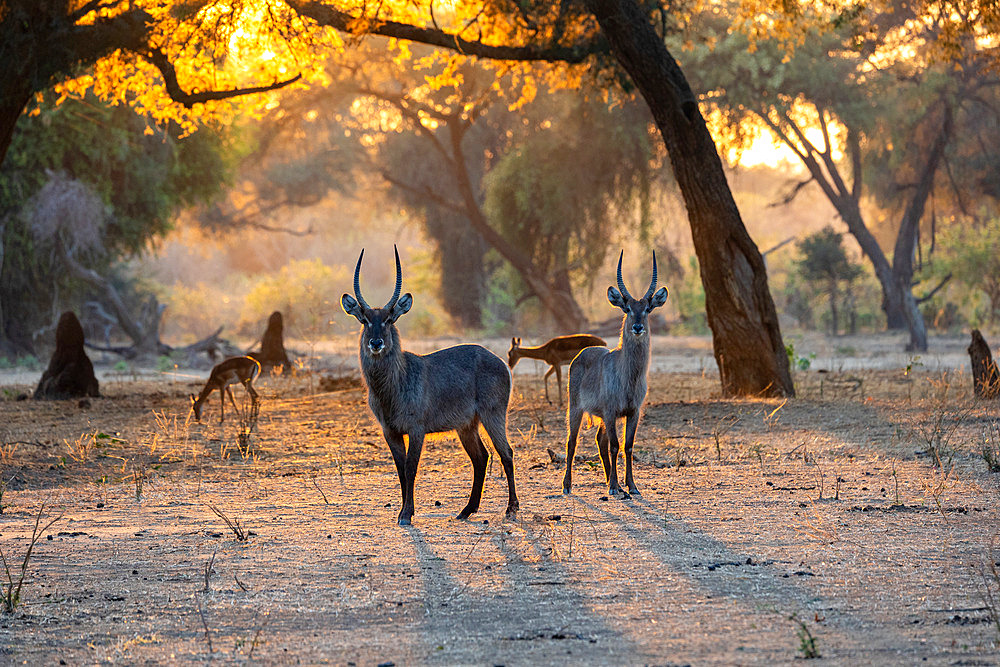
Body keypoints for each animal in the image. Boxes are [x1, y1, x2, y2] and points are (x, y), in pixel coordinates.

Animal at [342, 245, 520, 528]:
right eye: (365, 320)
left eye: (390, 319)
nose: (376, 343)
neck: (394, 385)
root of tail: (500, 361)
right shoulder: (390, 431)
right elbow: (400, 469)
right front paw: (404, 511)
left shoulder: (416, 429)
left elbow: (411, 468)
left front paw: (406, 514)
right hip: (466, 425)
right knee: (481, 458)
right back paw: (466, 510)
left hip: (493, 414)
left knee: (506, 453)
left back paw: (511, 509)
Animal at [568, 250, 668, 496]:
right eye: (628, 308)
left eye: (647, 309)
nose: (638, 327)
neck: (629, 377)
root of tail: (582, 354)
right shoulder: (611, 411)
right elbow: (615, 446)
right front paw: (615, 487)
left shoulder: (633, 413)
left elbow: (628, 446)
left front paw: (631, 486)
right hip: (576, 409)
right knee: (572, 442)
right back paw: (568, 486)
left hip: (603, 417)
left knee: (599, 440)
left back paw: (611, 482)